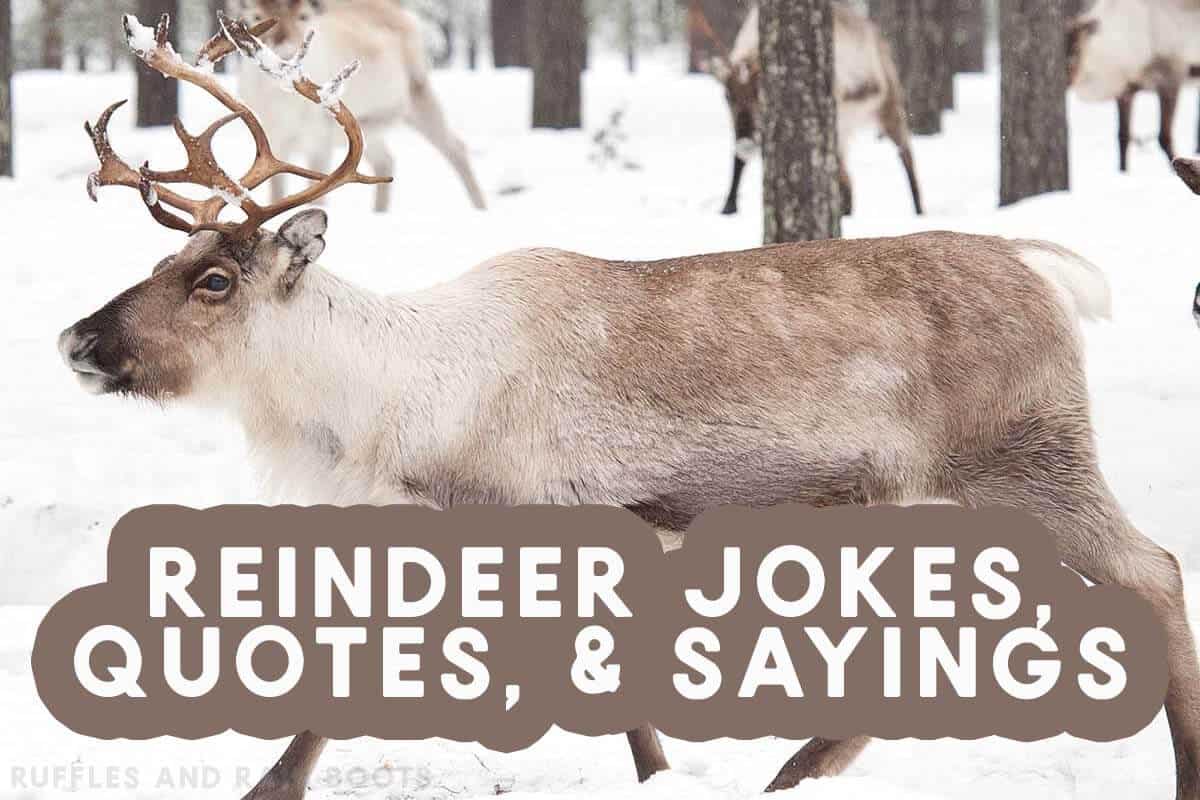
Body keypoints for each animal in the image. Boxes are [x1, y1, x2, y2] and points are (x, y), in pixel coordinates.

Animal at [232, 0, 487, 214]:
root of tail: (403, 14)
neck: (282, 108)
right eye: (256, 16)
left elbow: (316, 193)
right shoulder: (273, 140)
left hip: (418, 93)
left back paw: (481, 207)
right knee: (386, 160)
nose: (282, 46)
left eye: (303, 16)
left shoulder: (319, 137)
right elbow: (276, 193)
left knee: (456, 147)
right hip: (368, 125)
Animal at [697, 2, 923, 218]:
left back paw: (918, 209)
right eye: (727, 95)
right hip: (846, 129)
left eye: (761, 93)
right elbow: (738, 161)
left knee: (905, 155)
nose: (745, 141)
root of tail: (879, 39)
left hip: (889, 108)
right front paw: (728, 207)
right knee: (848, 178)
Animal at [1067, 0, 1200, 173]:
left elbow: (1164, 137)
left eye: (1076, 49)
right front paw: (1123, 171)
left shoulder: (1171, 77)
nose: (1068, 79)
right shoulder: (1125, 91)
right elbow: (1123, 137)